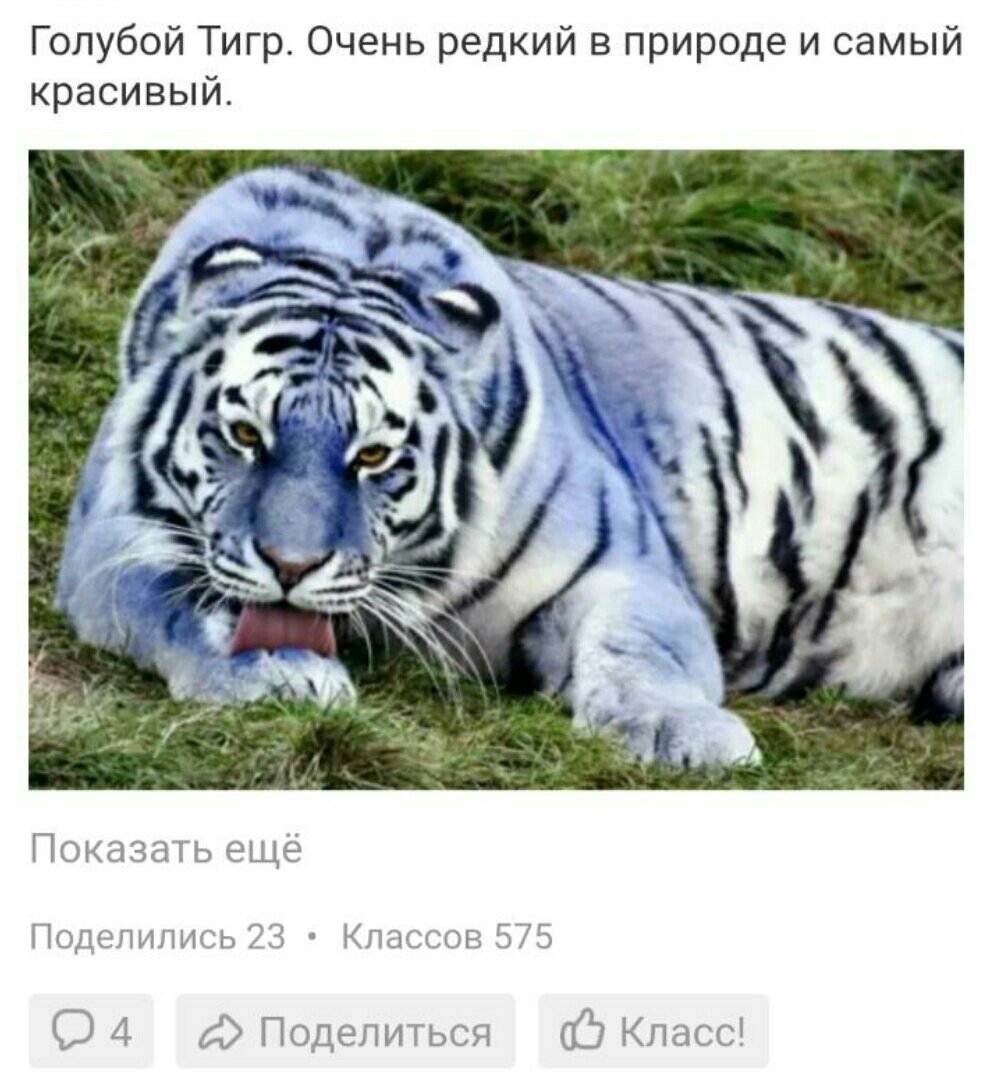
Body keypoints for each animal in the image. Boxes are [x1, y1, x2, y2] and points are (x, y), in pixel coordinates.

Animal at [56, 165, 963, 769]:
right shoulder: (112, 536)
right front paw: (279, 674)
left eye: (373, 455)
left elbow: (642, 649)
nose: (290, 567)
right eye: (245, 436)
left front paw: (685, 735)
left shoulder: (621, 565)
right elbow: (175, 604)